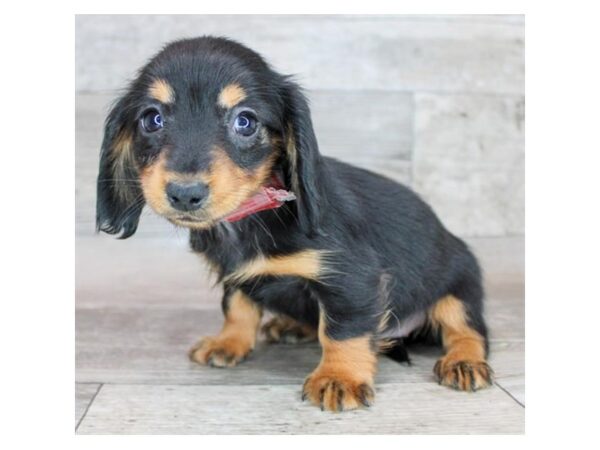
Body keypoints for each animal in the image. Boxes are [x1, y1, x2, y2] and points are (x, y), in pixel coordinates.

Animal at [97, 37, 492, 414]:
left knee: (468, 330)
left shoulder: (353, 277)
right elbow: (237, 307)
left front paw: (339, 377)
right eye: (152, 119)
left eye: (245, 121)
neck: (253, 214)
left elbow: (343, 329)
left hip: (458, 285)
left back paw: (464, 361)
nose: (184, 193)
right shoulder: (236, 276)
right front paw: (229, 342)